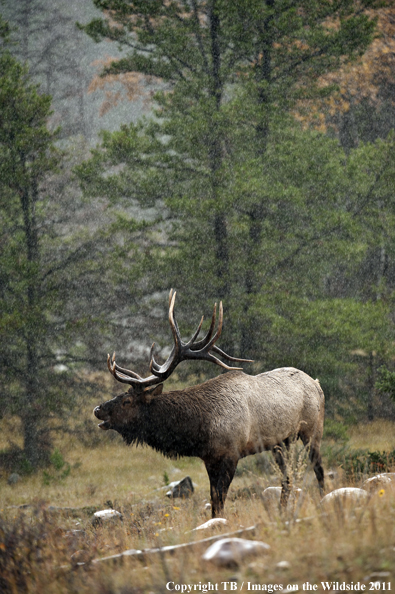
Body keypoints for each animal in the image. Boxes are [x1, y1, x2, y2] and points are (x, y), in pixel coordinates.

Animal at [95, 290, 324, 516]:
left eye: (127, 401)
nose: (98, 409)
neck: (201, 428)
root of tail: (317, 384)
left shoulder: (232, 454)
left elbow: (221, 499)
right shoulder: (209, 459)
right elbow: (214, 501)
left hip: (312, 431)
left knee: (318, 469)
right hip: (282, 441)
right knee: (287, 478)